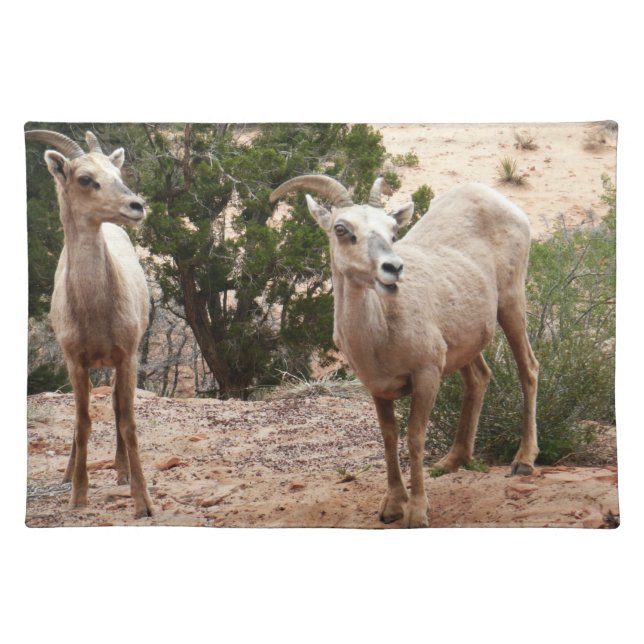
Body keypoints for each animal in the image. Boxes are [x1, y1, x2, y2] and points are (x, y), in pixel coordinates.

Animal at [26, 129, 153, 518]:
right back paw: (69, 473)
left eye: (117, 171)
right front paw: (77, 494)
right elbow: (82, 421)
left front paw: (142, 502)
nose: (137, 206)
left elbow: (127, 420)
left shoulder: (127, 356)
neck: (95, 311)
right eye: (85, 178)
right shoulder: (74, 360)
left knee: (115, 406)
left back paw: (122, 471)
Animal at [270, 175, 539, 528]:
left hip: (511, 304)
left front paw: (416, 513)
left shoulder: (426, 375)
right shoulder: (378, 388)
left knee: (528, 369)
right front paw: (391, 507)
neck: (380, 333)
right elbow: (389, 438)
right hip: (464, 342)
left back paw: (523, 461)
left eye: (392, 231)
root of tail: (494, 197)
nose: (393, 268)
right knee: (479, 378)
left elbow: (414, 437)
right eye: (341, 229)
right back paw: (450, 462)